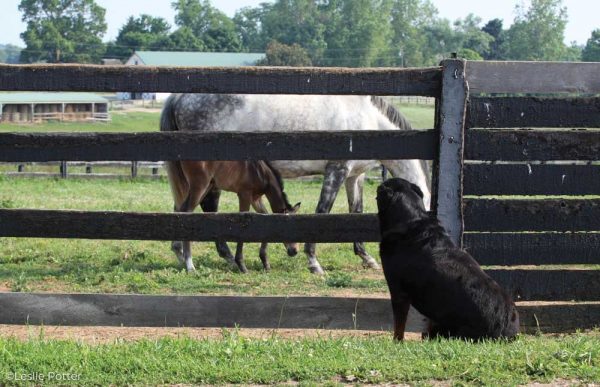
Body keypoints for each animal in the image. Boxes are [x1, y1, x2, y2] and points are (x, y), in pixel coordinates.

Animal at [164, 159, 300, 274]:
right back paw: (190, 265)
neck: (259, 171)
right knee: (186, 211)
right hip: (199, 186)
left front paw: (265, 262)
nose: (294, 251)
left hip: (206, 187)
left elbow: (265, 218)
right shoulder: (244, 195)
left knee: (180, 209)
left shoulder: (256, 199)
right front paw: (242, 265)